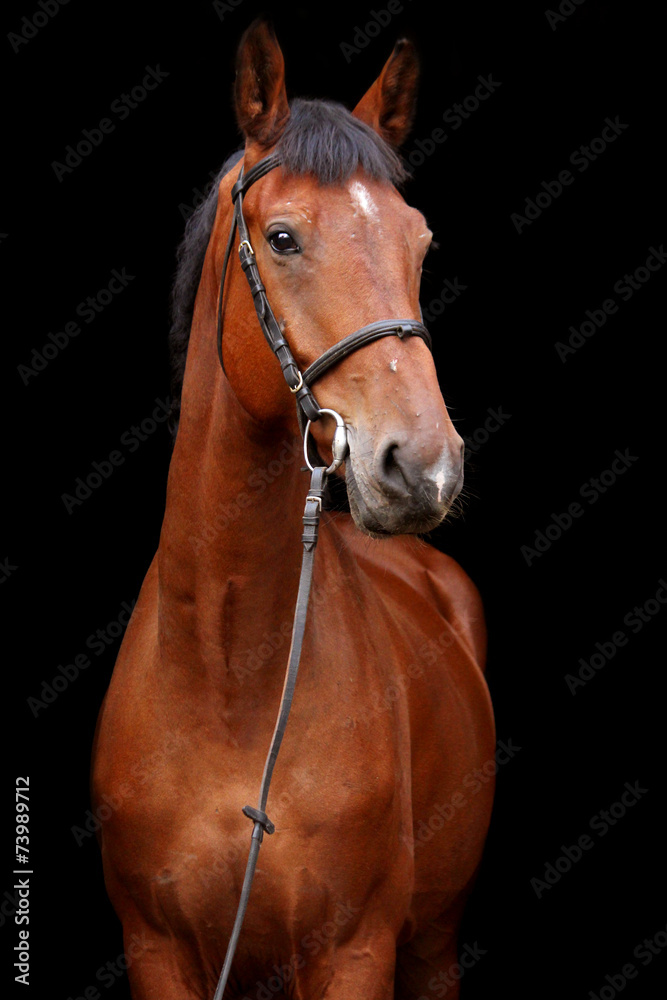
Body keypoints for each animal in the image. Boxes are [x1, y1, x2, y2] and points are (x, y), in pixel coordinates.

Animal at [92, 20, 495, 1000]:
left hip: (432, 947)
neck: (230, 682)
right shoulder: (155, 951)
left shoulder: (356, 951)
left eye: (419, 244)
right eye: (282, 238)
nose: (423, 467)